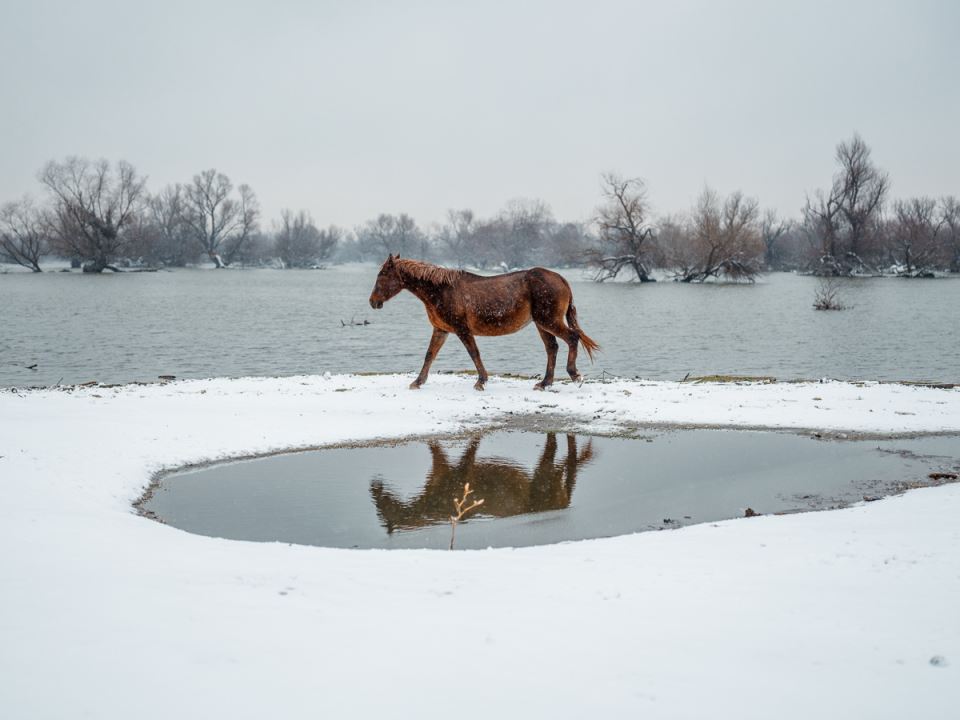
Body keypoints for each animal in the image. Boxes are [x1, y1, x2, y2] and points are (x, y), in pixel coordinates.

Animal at [370, 253, 600, 388]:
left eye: (382, 275)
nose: (373, 302)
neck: (441, 290)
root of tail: (561, 279)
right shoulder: (440, 329)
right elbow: (429, 355)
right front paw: (417, 382)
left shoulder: (462, 329)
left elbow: (474, 353)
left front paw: (481, 381)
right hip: (542, 324)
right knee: (552, 348)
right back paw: (545, 383)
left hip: (548, 321)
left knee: (572, 338)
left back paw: (574, 375)